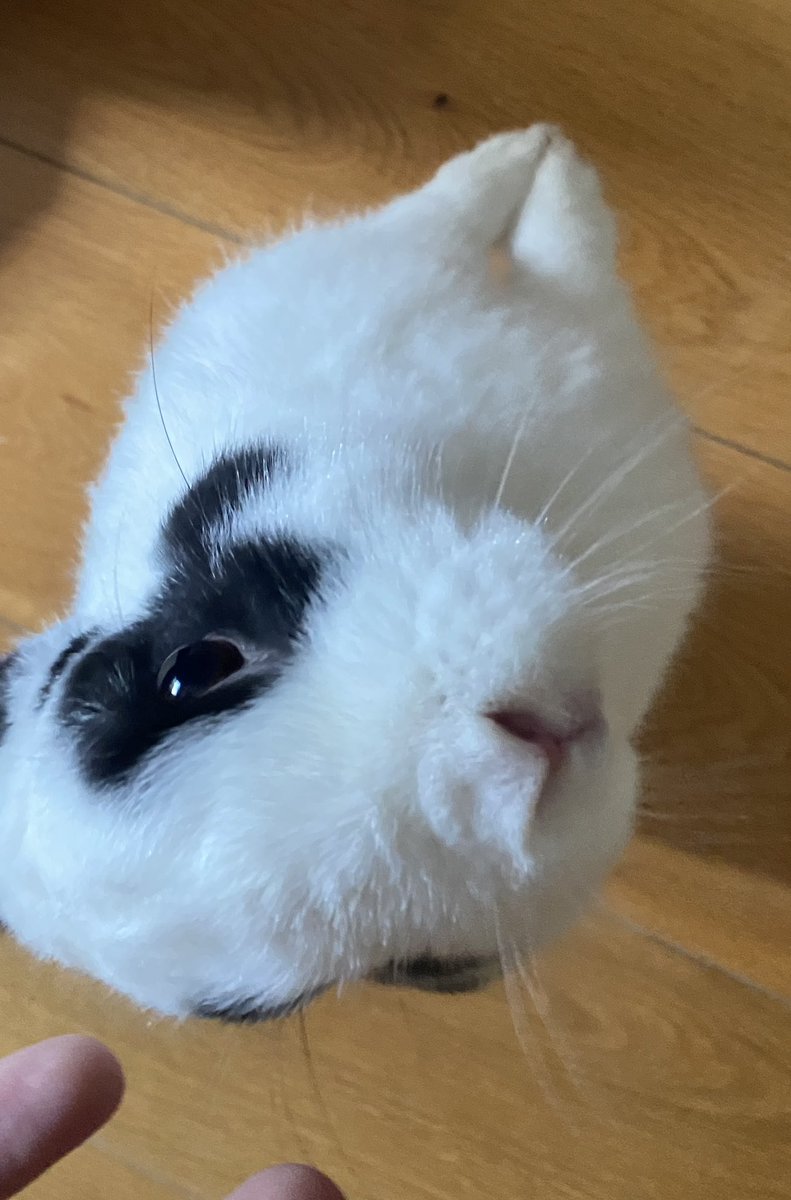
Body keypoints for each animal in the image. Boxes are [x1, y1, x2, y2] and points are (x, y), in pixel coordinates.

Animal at [0, 126, 711, 1022]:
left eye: (198, 666)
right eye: (404, 959)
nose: (527, 738)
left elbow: (567, 251)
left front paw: (555, 162)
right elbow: (581, 270)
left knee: (450, 212)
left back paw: (532, 147)